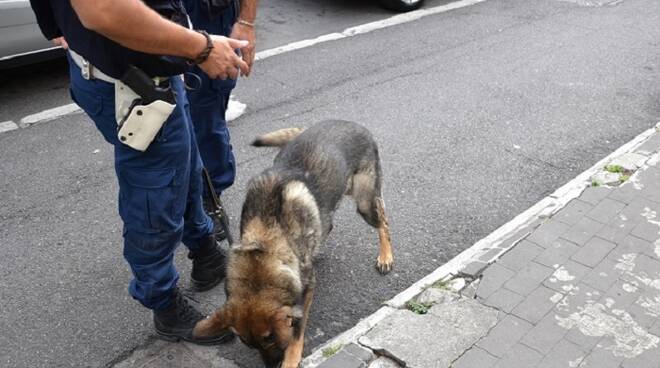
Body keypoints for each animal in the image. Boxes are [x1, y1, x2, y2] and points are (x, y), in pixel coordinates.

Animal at [193, 121, 394, 368]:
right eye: (250, 345)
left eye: (270, 338)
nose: (270, 366)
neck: (264, 243)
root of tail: (352, 123)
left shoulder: (305, 293)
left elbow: (297, 329)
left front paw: (291, 358)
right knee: (329, 224)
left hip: (365, 202)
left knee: (383, 220)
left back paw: (385, 256)